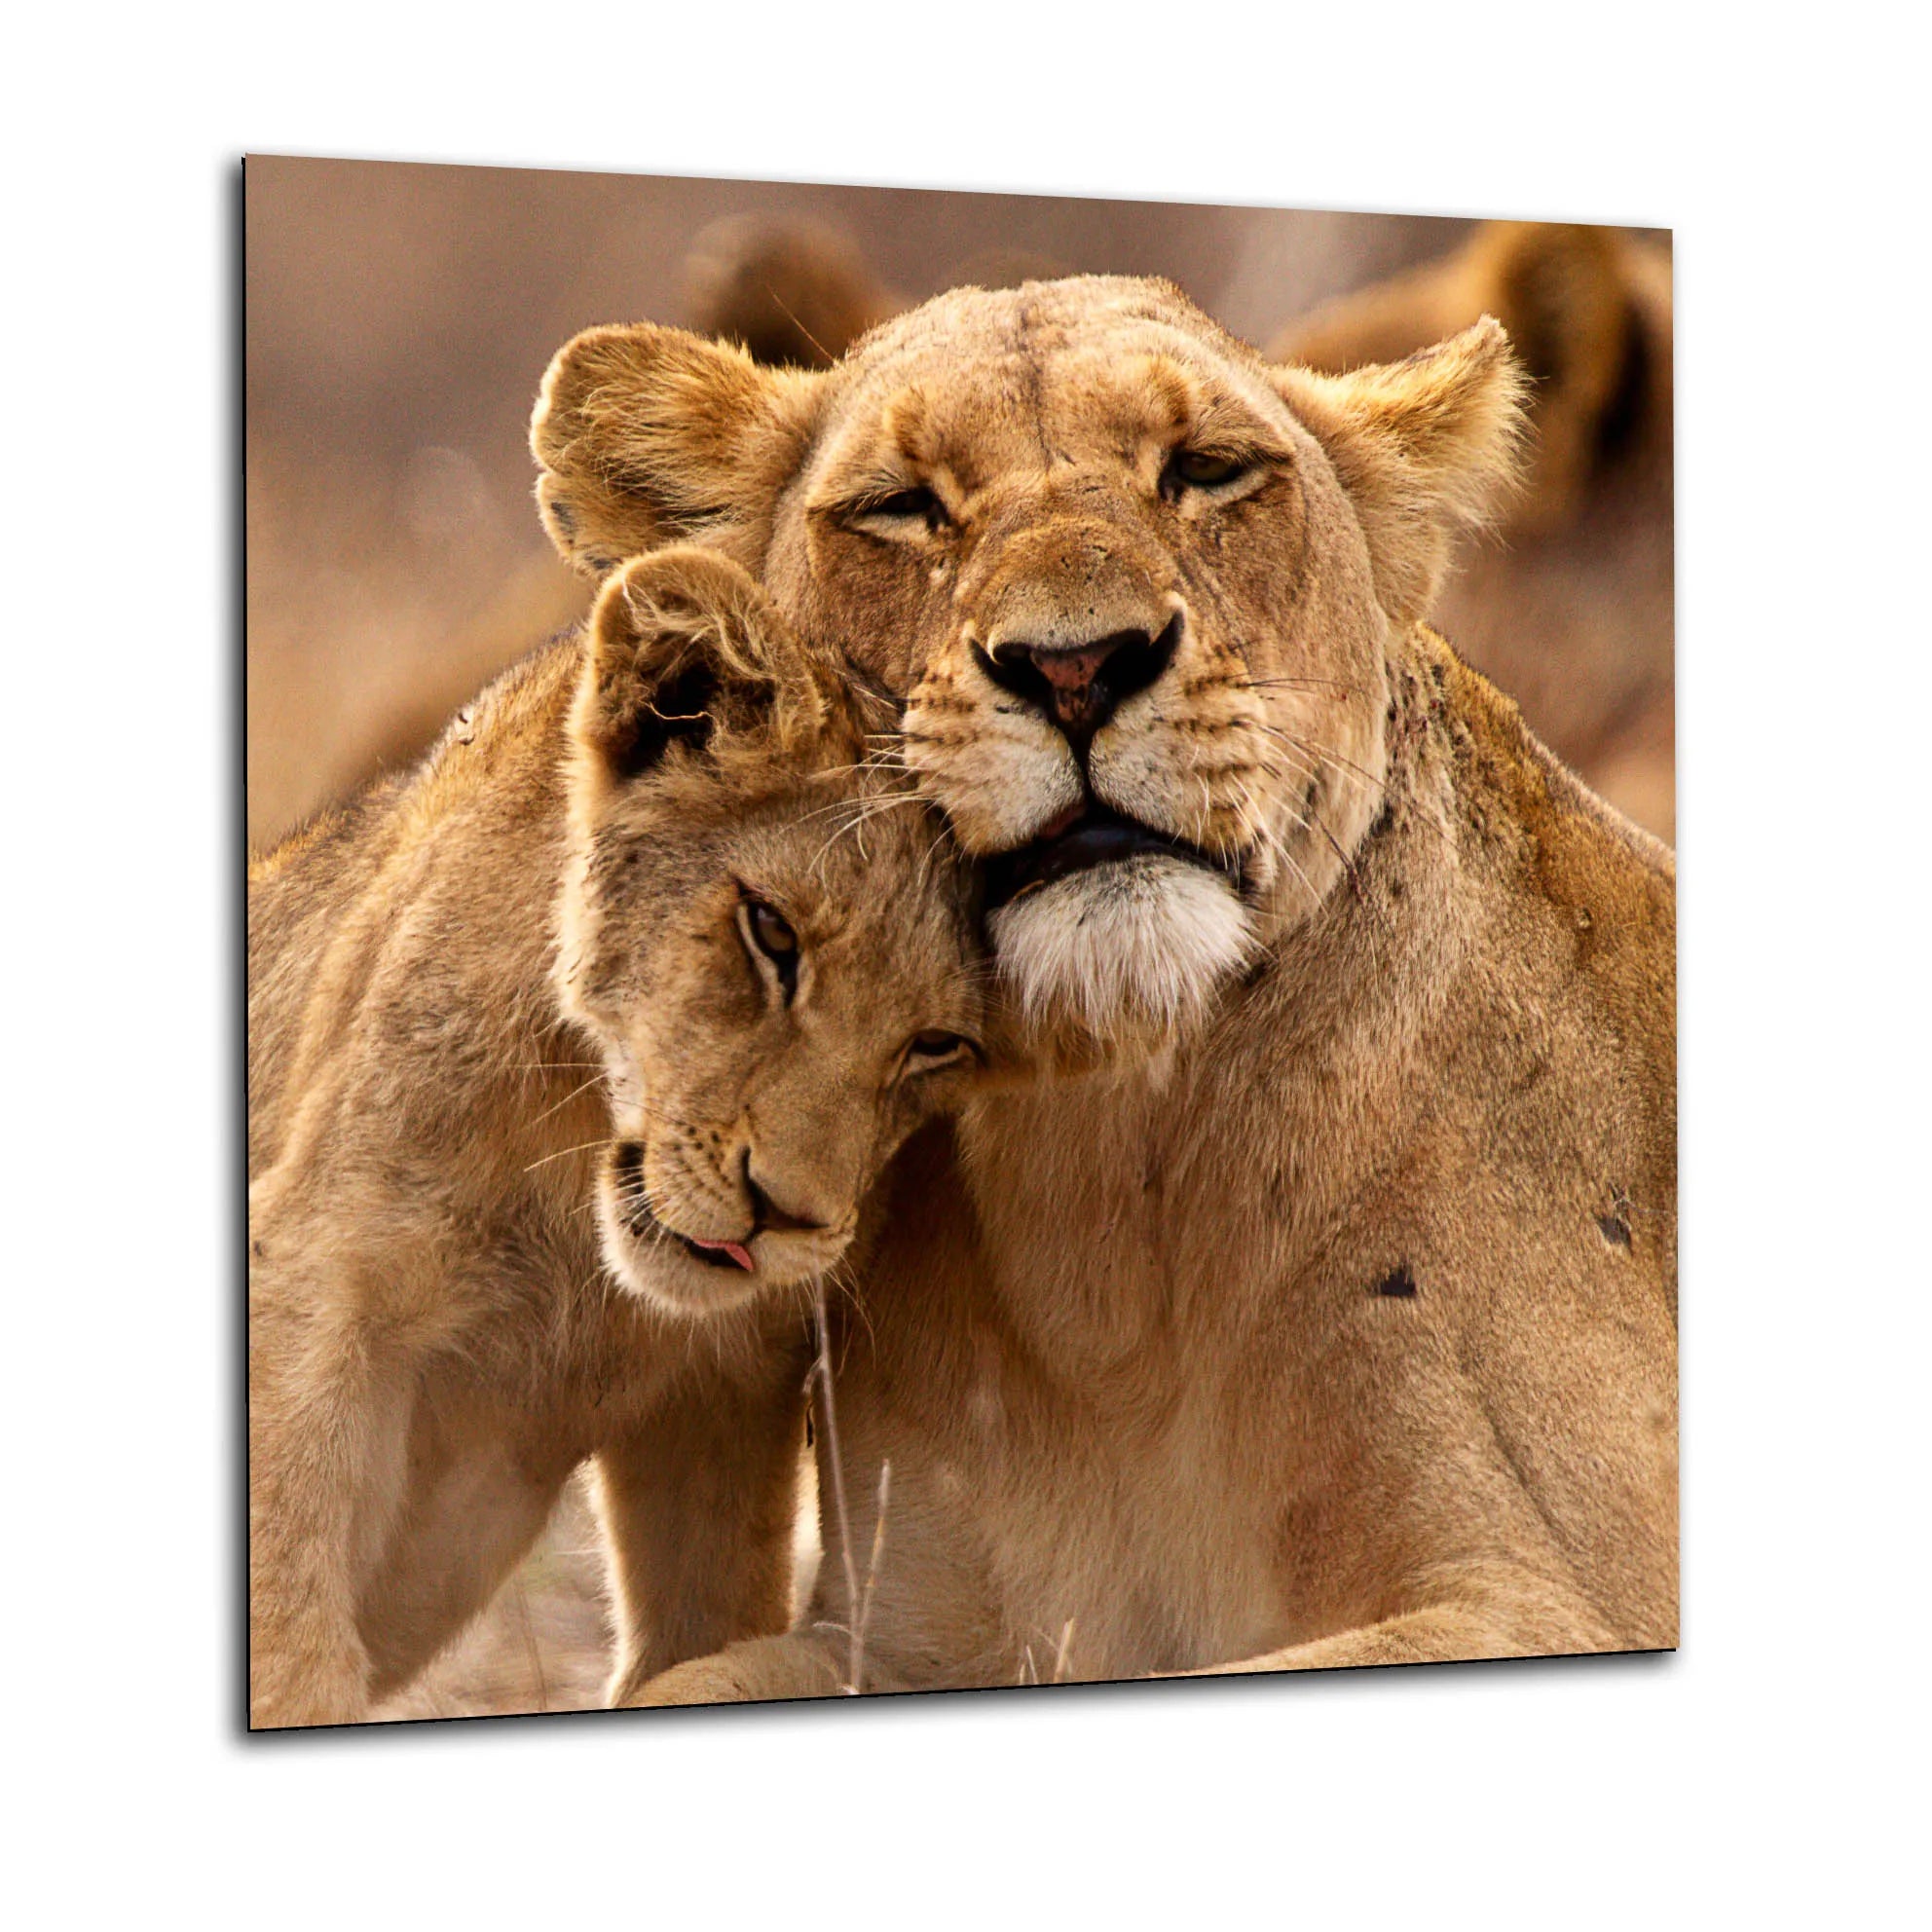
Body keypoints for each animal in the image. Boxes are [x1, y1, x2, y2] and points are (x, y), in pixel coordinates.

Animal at [247, 546, 986, 1727]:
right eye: (770, 932)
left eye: (939, 1043)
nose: (784, 1216)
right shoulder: (311, 1281)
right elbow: (290, 1639)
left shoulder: (723, 1392)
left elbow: (703, 1627)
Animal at [529, 276, 1676, 1699]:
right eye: (901, 503)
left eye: (1208, 470)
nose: (1076, 667)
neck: (1105, 1206)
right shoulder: (901, 1635)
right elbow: (682, 1679)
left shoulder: (1548, 1590)